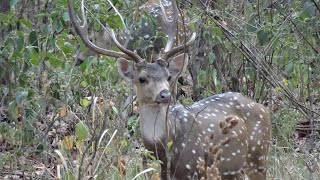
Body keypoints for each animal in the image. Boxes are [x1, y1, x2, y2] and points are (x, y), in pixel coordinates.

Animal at [67, 0, 270, 179]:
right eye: (142, 78)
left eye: (168, 76)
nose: (164, 95)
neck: (164, 150)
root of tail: (263, 108)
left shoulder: (197, 169)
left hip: (258, 157)